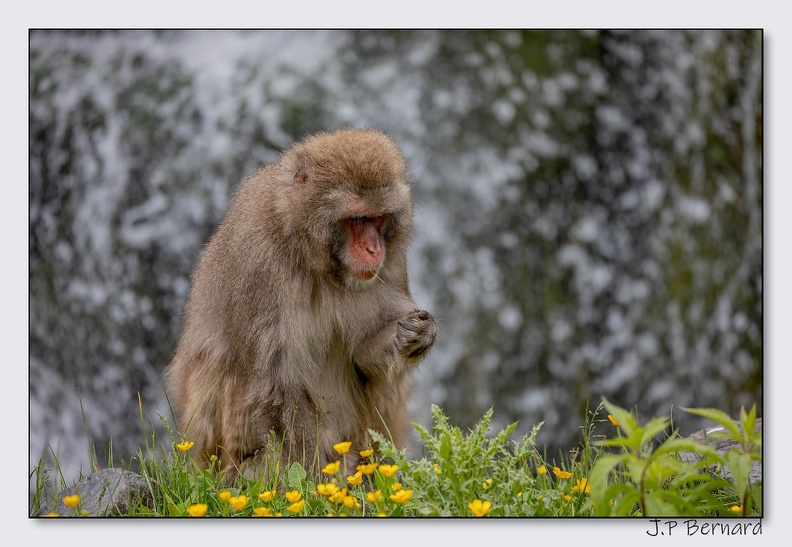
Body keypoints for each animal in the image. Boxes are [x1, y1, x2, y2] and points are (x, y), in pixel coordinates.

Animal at [163, 127, 440, 480]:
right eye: (357, 219)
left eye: (378, 219)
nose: (374, 249)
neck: (316, 259)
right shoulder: (260, 264)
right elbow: (275, 387)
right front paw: (315, 479)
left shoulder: (391, 263)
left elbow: (364, 356)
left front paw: (414, 337)